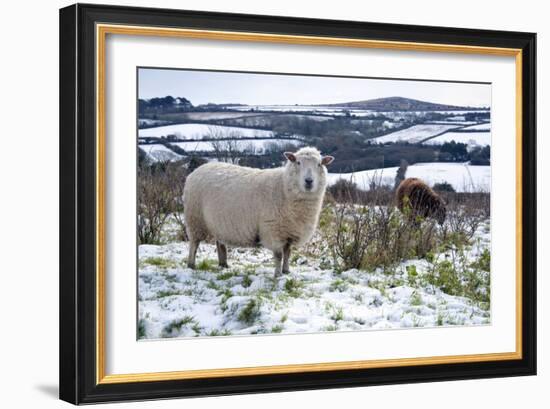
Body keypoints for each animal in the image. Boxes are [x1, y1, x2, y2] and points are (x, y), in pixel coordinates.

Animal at [183, 147, 334, 278]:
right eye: (298, 162)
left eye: (319, 164)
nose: (309, 181)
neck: (284, 187)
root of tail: (195, 171)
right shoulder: (273, 230)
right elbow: (279, 255)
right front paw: (278, 275)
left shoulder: (289, 231)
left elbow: (288, 253)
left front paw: (286, 271)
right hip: (195, 218)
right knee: (194, 243)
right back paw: (191, 265)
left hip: (218, 223)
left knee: (220, 243)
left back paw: (223, 264)